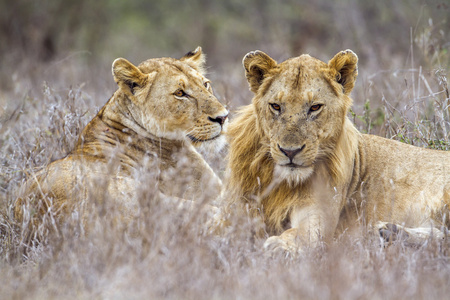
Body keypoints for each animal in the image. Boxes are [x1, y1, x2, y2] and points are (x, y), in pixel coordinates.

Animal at [229, 48, 450, 253]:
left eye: (315, 107)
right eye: (275, 106)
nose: (290, 151)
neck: (282, 183)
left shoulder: (316, 214)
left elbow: (300, 233)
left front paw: (280, 246)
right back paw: (388, 232)